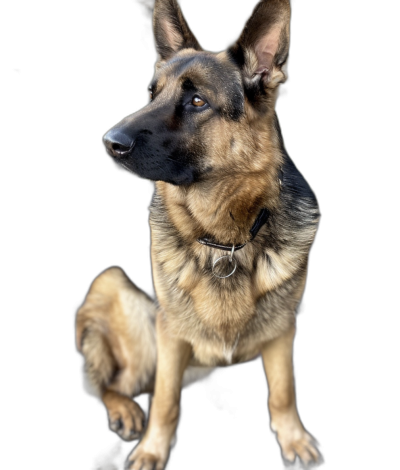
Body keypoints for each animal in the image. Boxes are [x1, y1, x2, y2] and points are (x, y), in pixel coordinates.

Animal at [75, 1, 322, 468]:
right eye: (151, 94)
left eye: (197, 100)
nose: (109, 142)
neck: (226, 239)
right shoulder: (170, 336)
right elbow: (165, 401)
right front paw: (152, 449)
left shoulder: (283, 331)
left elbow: (283, 392)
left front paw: (293, 438)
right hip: (123, 299)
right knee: (110, 385)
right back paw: (125, 411)